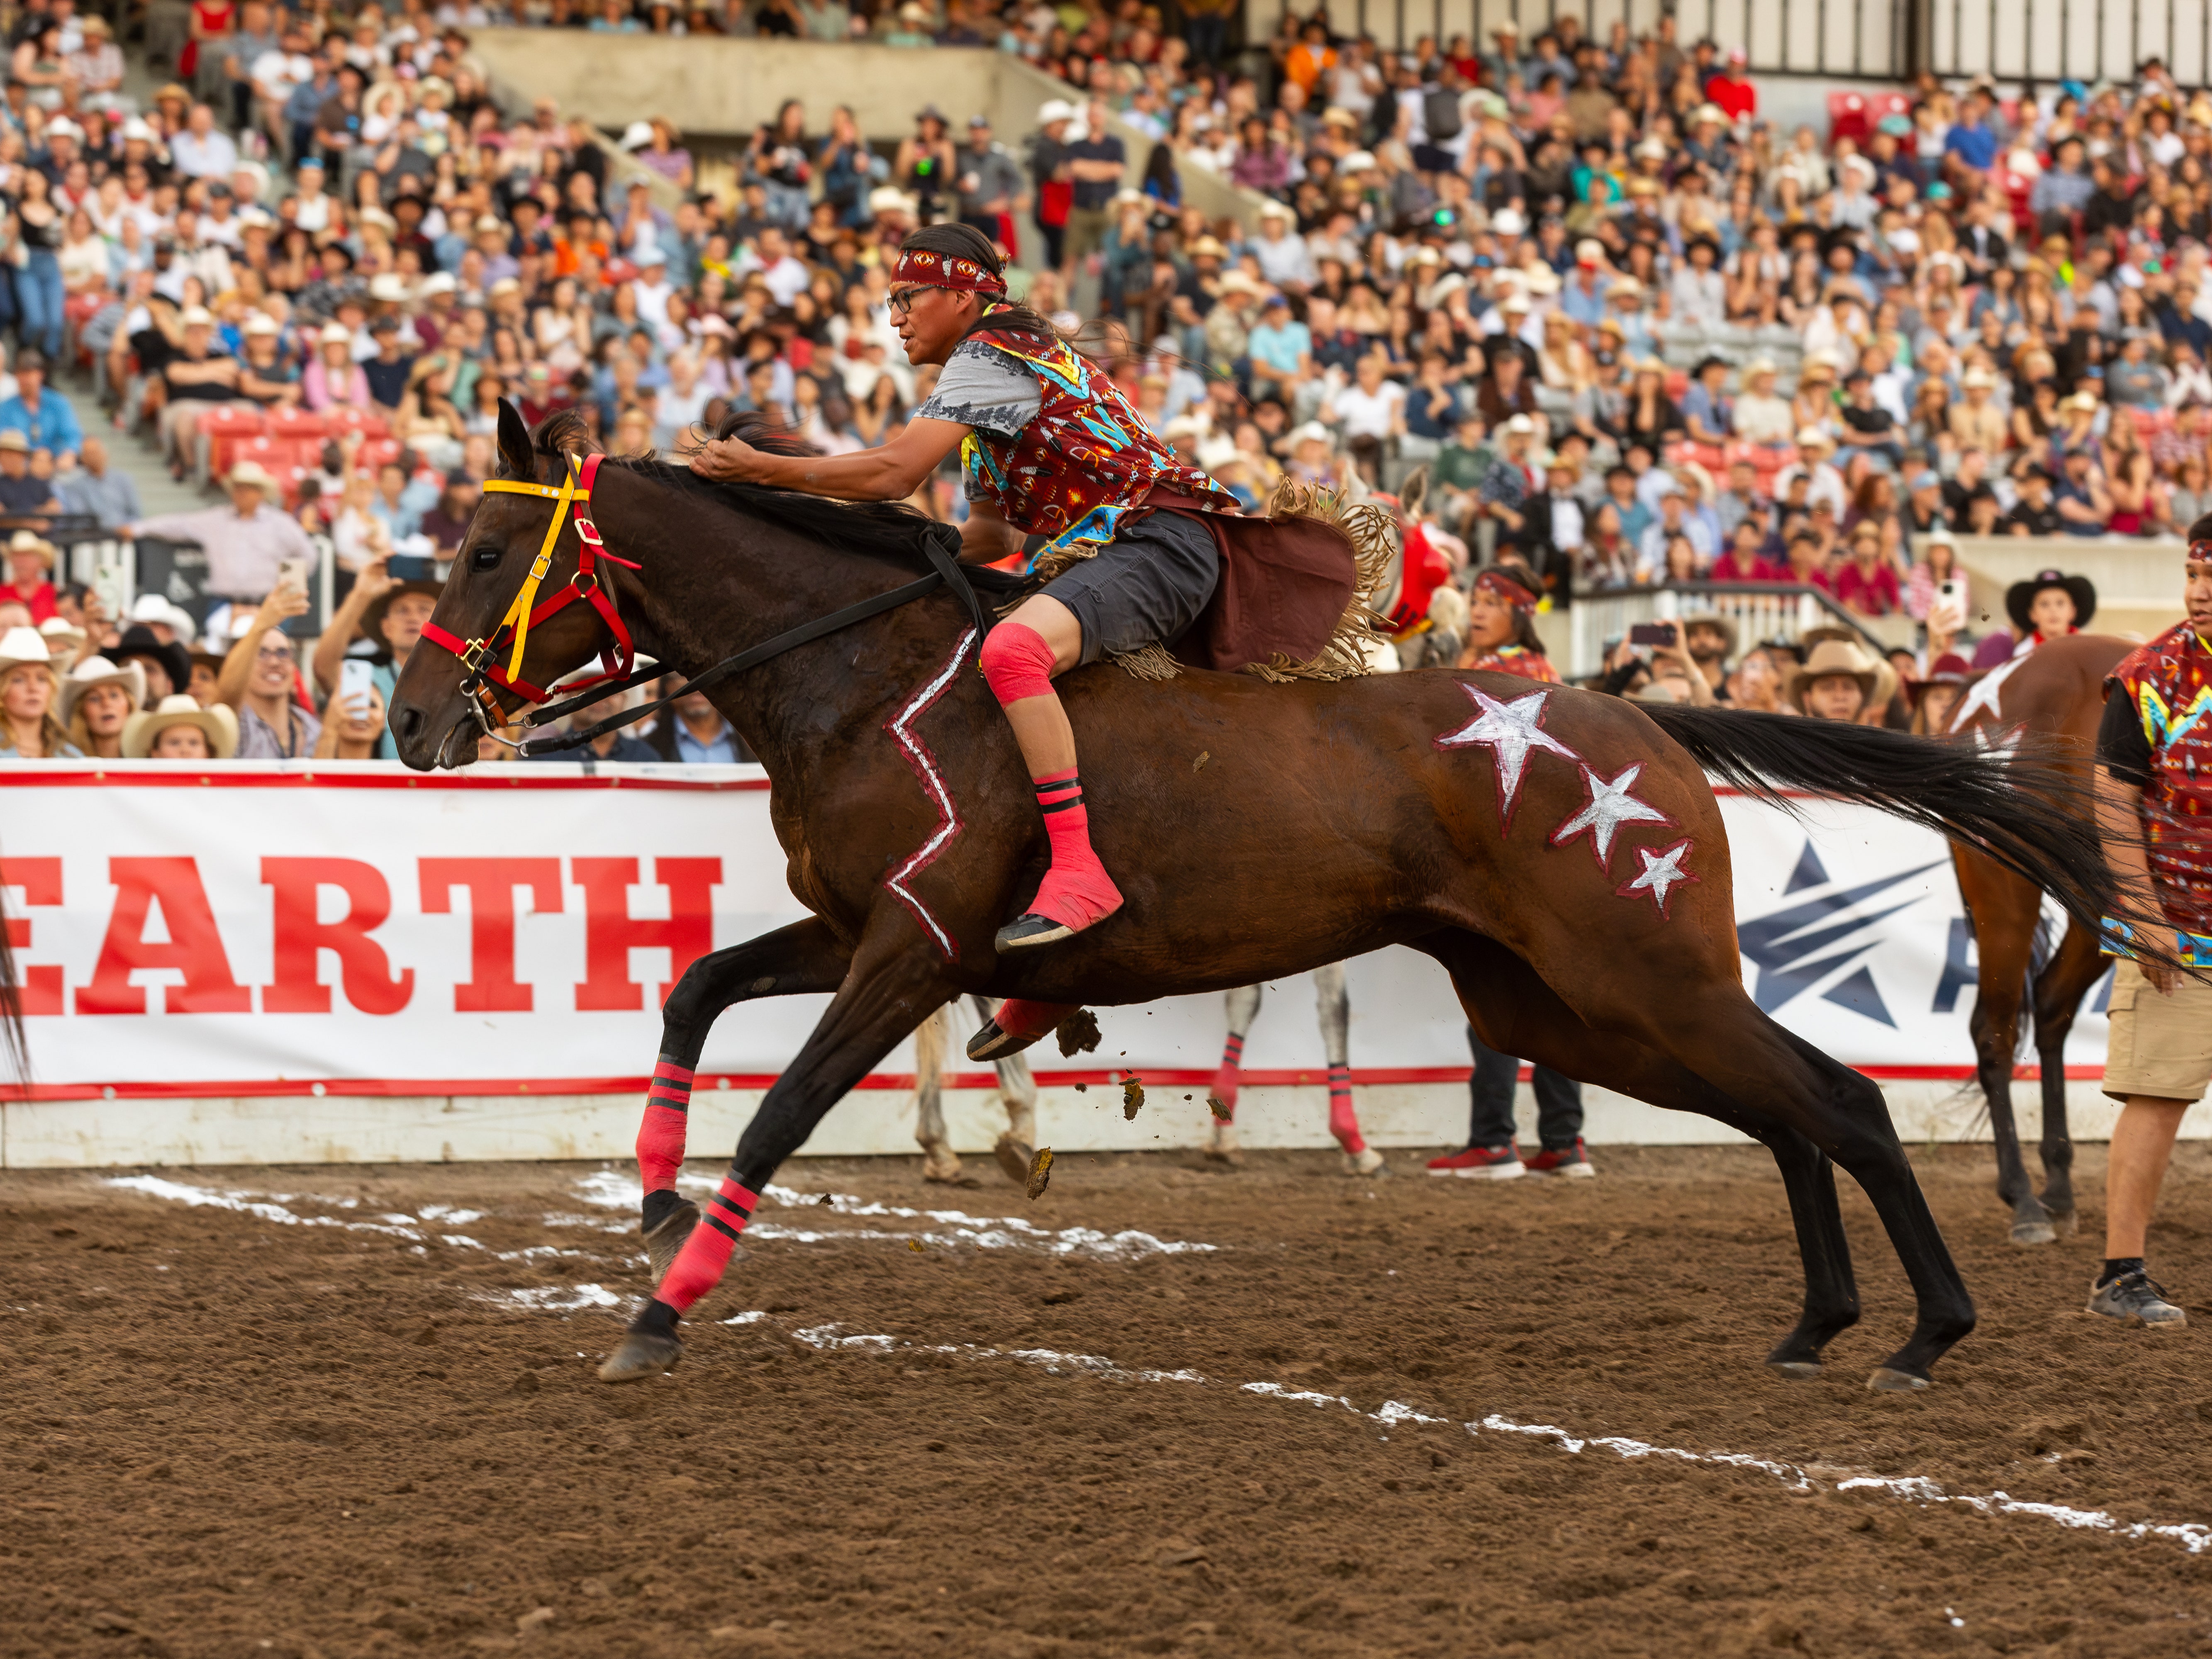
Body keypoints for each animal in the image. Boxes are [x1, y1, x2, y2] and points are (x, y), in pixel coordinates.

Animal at [1946, 637, 2132, 1247]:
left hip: (2100, 905)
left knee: (2051, 1004)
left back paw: (2058, 1181)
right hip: (2004, 889)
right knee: (1994, 1033)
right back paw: (2024, 1197)